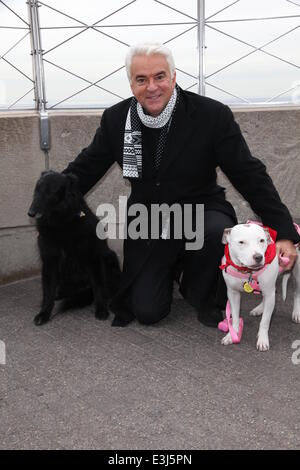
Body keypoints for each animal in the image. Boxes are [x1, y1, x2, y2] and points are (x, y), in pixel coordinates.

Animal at [27, 171, 121, 324]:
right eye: (37, 189)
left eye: (51, 191)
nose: (30, 213)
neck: (61, 221)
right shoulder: (50, 260)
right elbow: (48, 290)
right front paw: (44, 312)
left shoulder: (93, 258)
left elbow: (98, 286)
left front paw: (101, 309)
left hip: (110, 257)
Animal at [220, 222, 300, 350]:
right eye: (241, 242)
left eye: (261, 240)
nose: (258, 257)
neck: (247, 272)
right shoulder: (233, 293)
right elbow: (235, 317)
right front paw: (232, 335)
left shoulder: (269, 293)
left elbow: (265, 321)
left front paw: (262, 340)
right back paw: (260, 309)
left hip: (297, 275)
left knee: (296, 293)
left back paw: (296, 313)